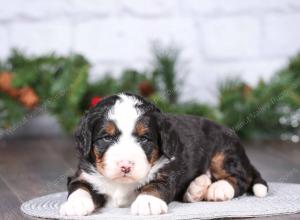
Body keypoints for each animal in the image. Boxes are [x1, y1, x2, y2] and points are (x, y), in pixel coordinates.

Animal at [59, 92, 268, 216]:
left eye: (144, 139)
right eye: (106, 138)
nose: (125, 166)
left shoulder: (168, 170)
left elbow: (156, 184)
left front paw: (148, 201)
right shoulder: (82, 173)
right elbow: (80, 187)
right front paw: (75, 204)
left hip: (223, 152)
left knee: (241, 178)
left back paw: (219, 189)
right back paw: (196, 188)